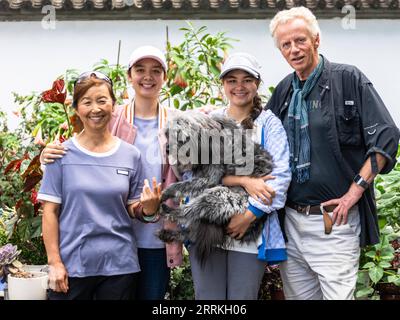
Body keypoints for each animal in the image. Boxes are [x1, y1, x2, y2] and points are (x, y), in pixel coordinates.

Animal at [158, 111, 274, 266]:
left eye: (179, 137)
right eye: (167, 134)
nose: (167, 149)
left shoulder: (211, 177)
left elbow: (184, 184)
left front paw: (168, 191)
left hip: (219, 197)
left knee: (189, 212)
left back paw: (170, 212)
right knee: (193, 234)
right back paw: (169, 234)